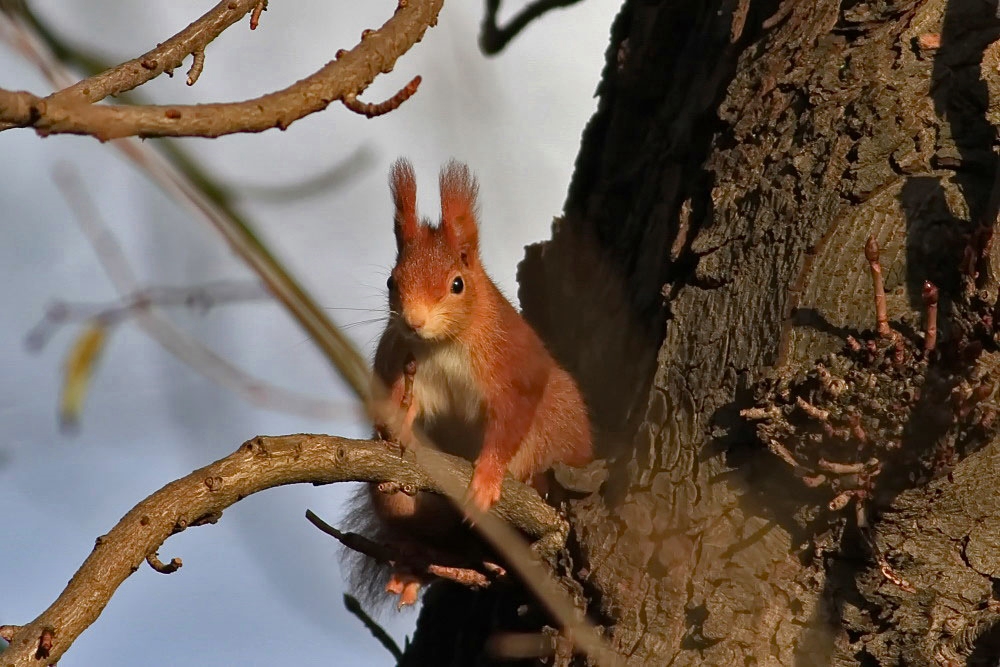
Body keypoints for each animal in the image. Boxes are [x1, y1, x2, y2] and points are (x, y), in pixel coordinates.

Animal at [346, 159, 588, 608]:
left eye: (457, 284)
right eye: (391, 282)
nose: (414, 321)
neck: (444, 345)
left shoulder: (513, 367)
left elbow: (511, 419)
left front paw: (487, 478)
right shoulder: (399, 363)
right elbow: (397, 404)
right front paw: (399, 428)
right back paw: (416, 563)